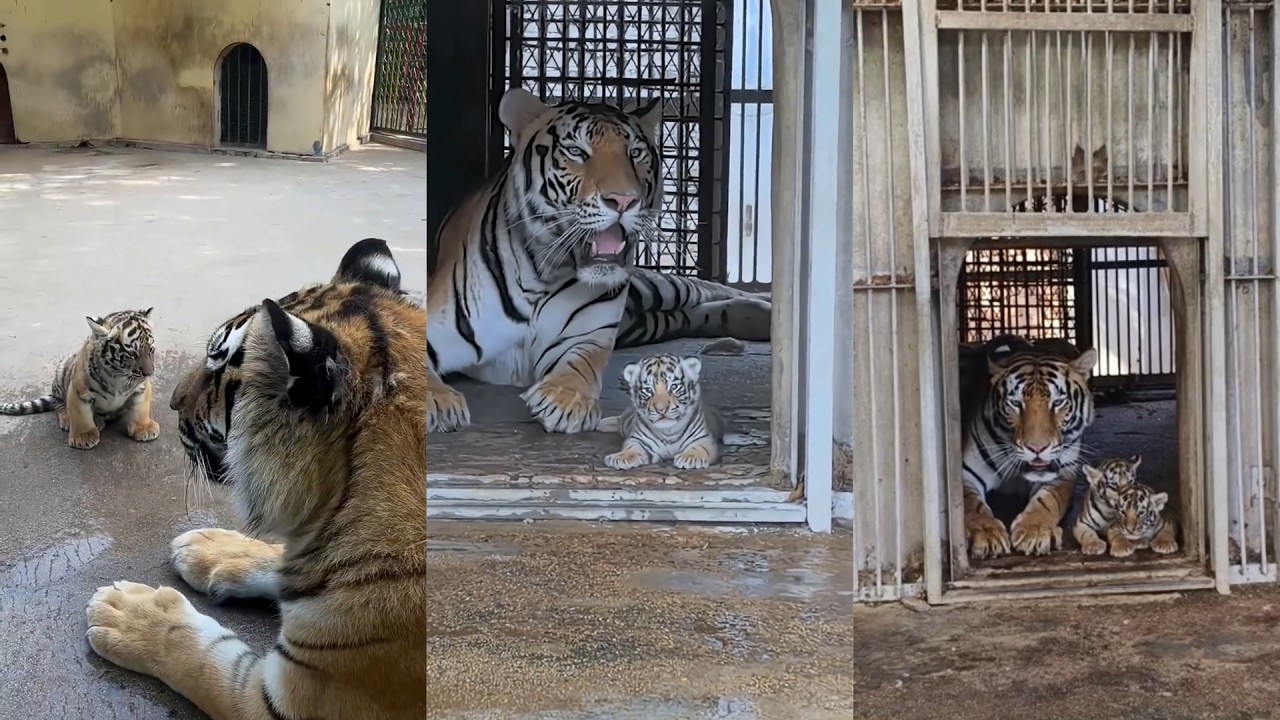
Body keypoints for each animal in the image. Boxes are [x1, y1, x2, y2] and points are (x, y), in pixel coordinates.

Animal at [0, 307, 159, 450]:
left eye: (151, 349)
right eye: (132, 354)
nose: (149, 373)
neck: (119, 376)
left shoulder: (141, 388)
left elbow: (141, 408)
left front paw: (145, 428)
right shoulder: (78, 390)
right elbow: (80, 415)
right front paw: (84, 437)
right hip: (61, 371)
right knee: (59, 404)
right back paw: (71, 420)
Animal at [84, 238, 426, 720]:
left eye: (217, 366)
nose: (169, 402)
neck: (337, 498)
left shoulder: (299, 698)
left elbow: (200, 652)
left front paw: (129, 612)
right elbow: (280, 559)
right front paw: (210, 547)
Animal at [427, 87, 771, 436]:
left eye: (635, 153)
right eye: (576, 152)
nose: (623, 200)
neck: (542, 274)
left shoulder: (586, 336)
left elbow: (579, 365)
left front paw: (564, 401)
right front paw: (438, 404)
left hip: (653, 288)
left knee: (706, 289)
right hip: (644, 322)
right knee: (687, 315)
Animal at [960, 334, 1099, 560]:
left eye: (1058, 402)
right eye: (1015, 404)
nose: (1037, 448)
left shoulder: (1063, 473)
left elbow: (1047, 500)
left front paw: (1034, 532)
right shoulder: (966, 473)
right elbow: (972, 505)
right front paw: (986, 535)